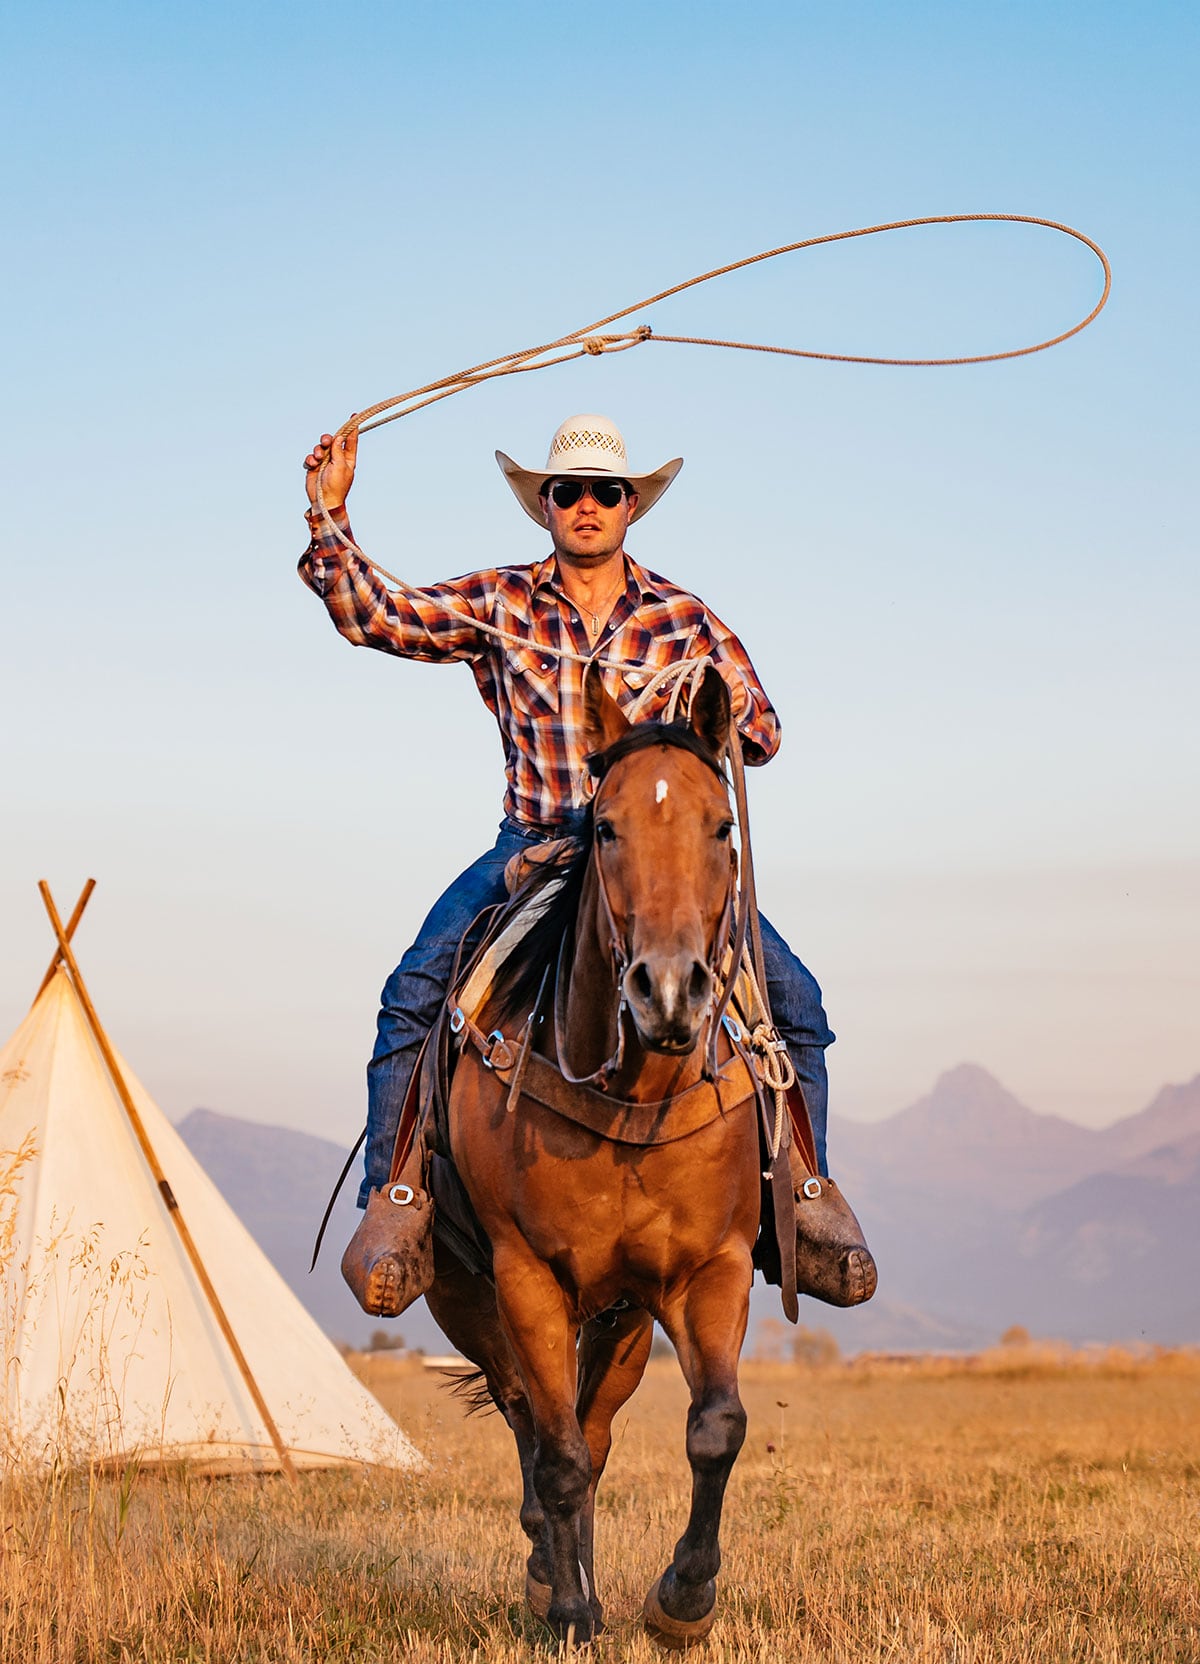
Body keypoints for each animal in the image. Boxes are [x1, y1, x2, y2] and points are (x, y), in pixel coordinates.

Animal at [429, 658, 768, 1637]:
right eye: (607, 826)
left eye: (722, 824)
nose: (668, 989)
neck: (631, 1101)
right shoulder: (526, 1279)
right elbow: (557, 1455)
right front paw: (574, 1610)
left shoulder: (711, 1270)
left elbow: (715, 1427)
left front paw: (684, 1598)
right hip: (468, 1298)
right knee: (532, 1424)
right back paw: (550, 1569)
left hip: (620, 1320)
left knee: (594, 1428)